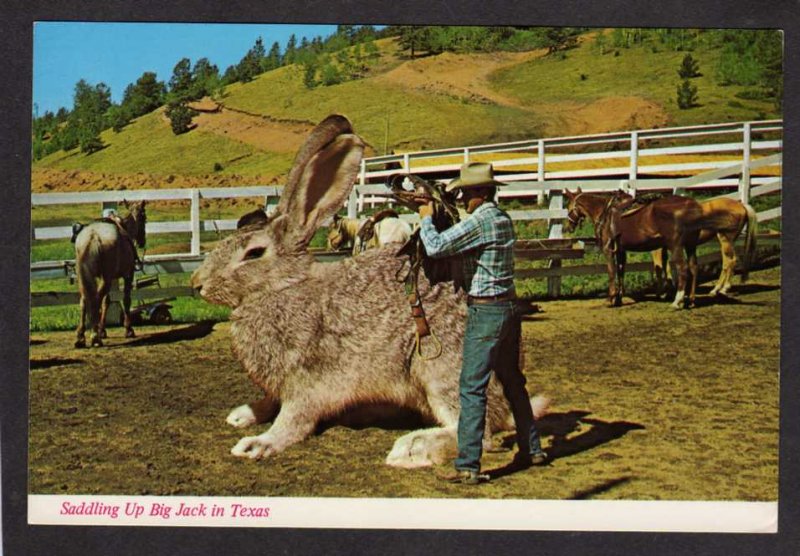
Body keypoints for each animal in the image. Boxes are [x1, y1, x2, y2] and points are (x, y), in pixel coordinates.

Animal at [73, 200, 147, 348]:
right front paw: (128, 329)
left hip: (86, 277)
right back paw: (95, 337)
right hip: (106, 278)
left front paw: (102, 330)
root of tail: (93, 237)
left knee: (84, 301)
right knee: (95, 300)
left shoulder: (109, 278)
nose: (142, 241)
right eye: (144, 218)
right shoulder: (128, 275)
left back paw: (81, 336)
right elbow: (126, 300)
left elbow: (106, 301)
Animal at [191, 115, 548, 466]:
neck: (282, 286)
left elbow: (293, 420)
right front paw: (242, 414)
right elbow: (269, 402)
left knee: (479, 431)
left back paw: (412, 448)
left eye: (253, 254)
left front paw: (257, 444)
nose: (197, 283)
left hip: (440, 369)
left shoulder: (306, 382)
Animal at [564, 188, 740, 308]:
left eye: (569, 206)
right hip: (690, 246)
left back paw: (677, 301)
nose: (567, 227)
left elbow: (612, 272)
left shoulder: (608, 250)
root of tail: (693, 205)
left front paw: (611, 298)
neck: (604, 213)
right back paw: (690, 300)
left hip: (676, 246)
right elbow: (621, 271)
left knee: (683, 269)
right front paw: (619, 298)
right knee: (694, 267)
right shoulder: (621, 250)